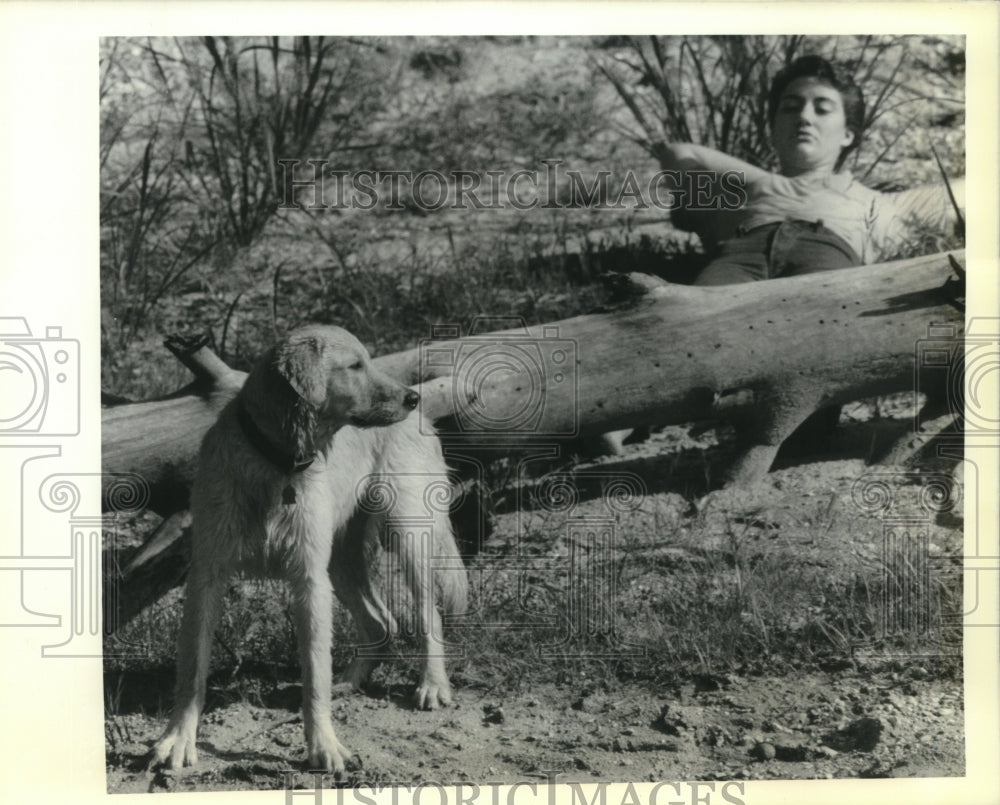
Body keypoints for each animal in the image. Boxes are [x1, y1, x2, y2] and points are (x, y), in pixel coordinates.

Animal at [151, 326, 468, 772]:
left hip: (408, 536)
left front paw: (324, 746)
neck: (277, 462)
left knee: (428, 615)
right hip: (341, 561)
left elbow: (314, 674)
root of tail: (424, 417)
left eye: (367, 361)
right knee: (382, 623)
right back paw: (350, 681)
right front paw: (178, 738)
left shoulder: (309, 582)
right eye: (355, 366)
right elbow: (192, 669)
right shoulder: (206, 577)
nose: (411, 398)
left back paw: (432, 685)